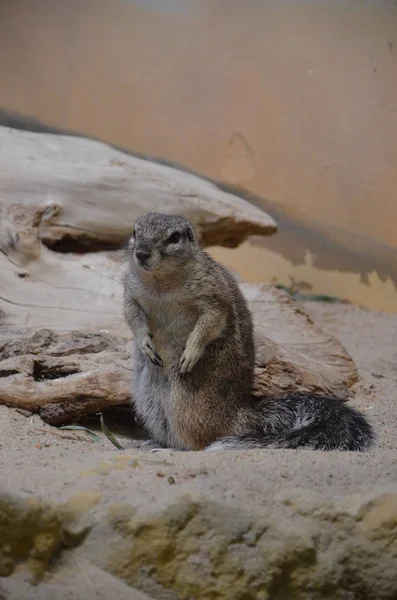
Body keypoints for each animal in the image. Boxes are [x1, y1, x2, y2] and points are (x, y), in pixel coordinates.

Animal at [122, 213, 372, 452]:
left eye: (174, 237)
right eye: (134, 231)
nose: (141, 253)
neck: (161, 285)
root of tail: (240, 416)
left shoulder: (214, 299)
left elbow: (208, 324)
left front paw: (191, 353)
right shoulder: (131, 294)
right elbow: (132, 316)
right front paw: (144, 343)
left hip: (183, 402)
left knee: (198, 443)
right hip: (147, 401)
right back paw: (153, 443)